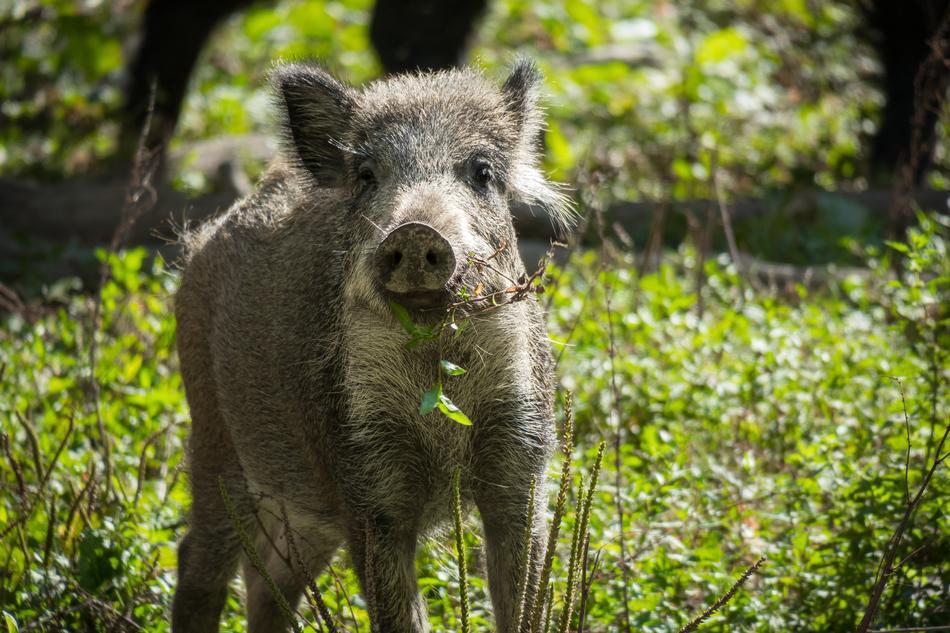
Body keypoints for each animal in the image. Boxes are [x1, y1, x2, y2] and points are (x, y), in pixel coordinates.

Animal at [171, 60, 573, 633]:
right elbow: (399, 614)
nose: (415, 230)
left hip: (304, 506)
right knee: (197, 560)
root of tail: (205, 241)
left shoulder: (521, 464)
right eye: (367, 175)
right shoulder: (364, 482)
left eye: (482, 172)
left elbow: (522, 601)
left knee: (268, 579)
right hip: (214, 440)